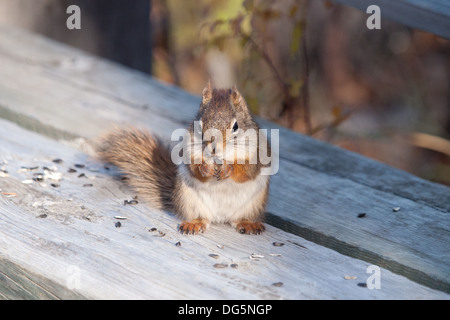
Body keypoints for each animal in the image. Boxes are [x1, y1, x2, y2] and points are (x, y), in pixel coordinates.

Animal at [96, 82, 268, 235]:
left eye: (236, 126)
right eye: (199, 125)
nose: (213, 148)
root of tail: (220, 218)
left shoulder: (258, 153)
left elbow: (247, 171)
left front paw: (228, 169)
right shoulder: (189, 151)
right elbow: (194, 168)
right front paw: (204, 168)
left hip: (252, 205)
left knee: (241, 218)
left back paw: (248, 223)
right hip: (189, 200)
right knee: (200, 217)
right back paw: (194, 224)